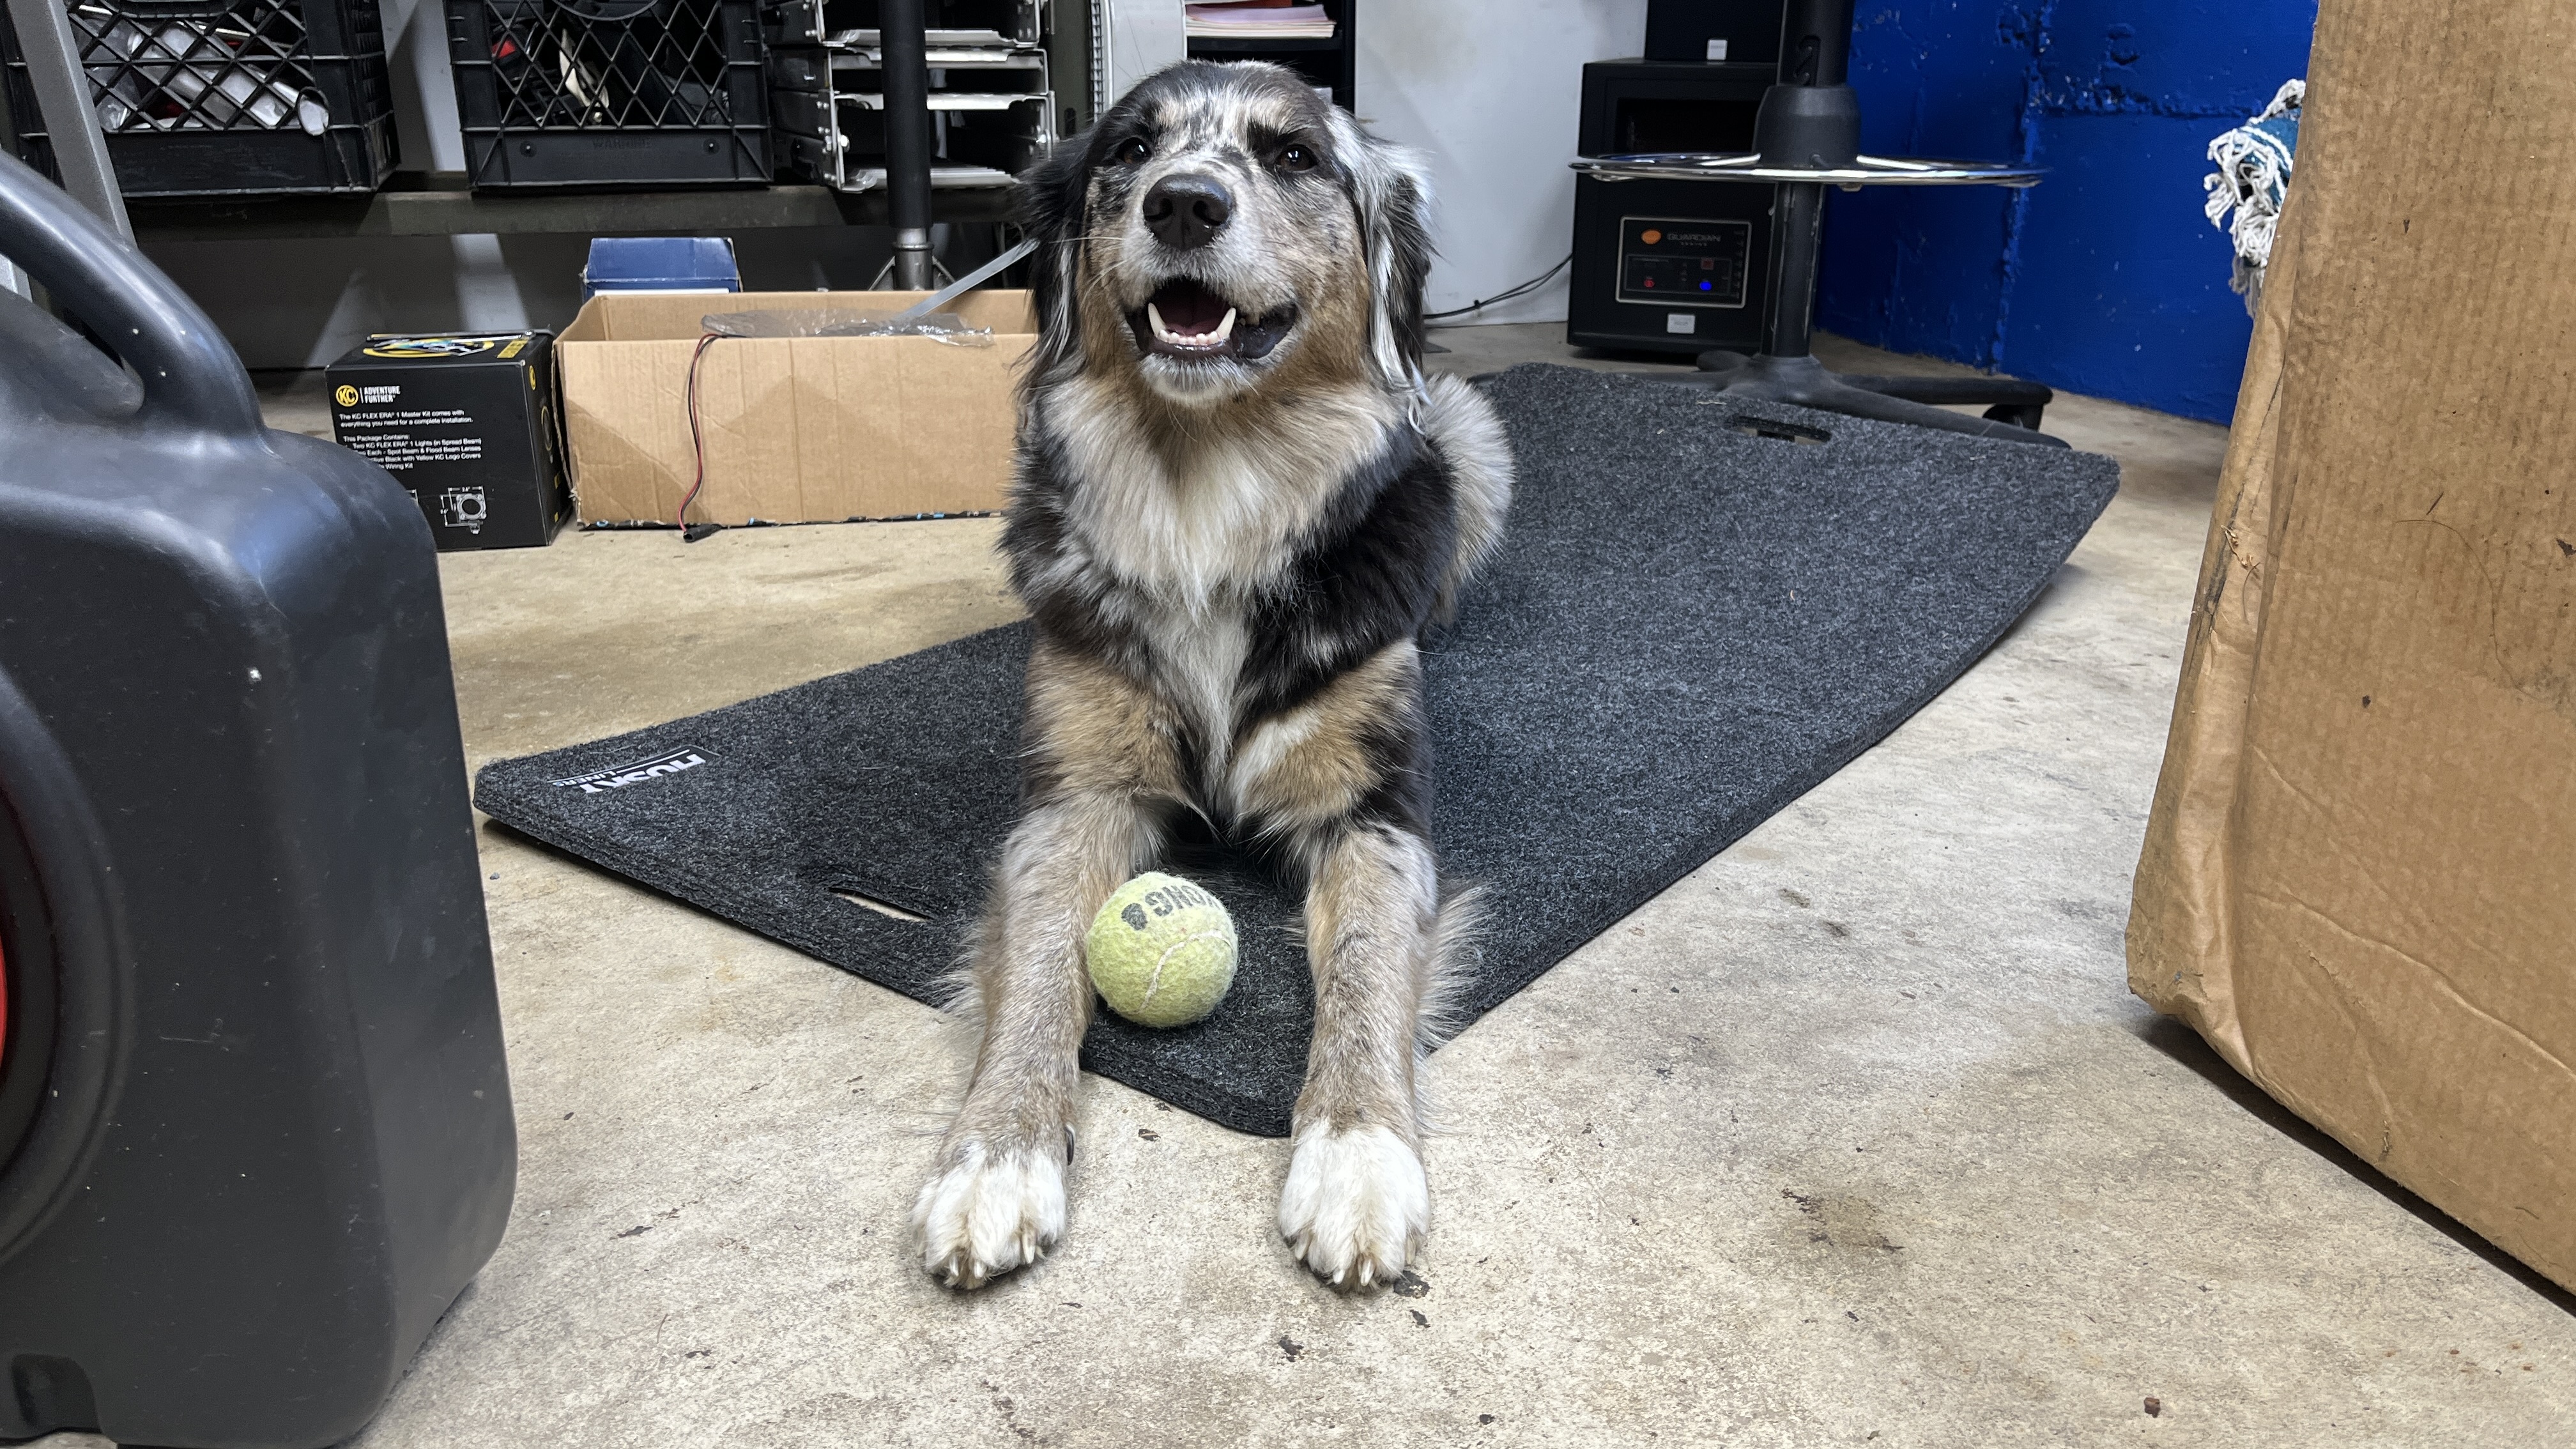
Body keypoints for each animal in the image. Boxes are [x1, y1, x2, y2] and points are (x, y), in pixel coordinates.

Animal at [917, 61, 1504, 1289]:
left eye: (1293, 156)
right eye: (1131, 149)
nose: (1184, 202)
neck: (1210, 484)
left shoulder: (1376, 812)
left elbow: (1368, 967)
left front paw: (1358, 1154)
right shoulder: (1074, 796)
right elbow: (1041, 964)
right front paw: (995, 1154)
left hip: (1472, 438)